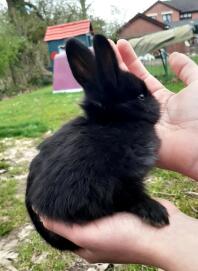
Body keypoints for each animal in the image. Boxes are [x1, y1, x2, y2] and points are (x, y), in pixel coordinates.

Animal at [25, 34, 169, 253]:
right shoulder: (117, 181)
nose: (158, 106)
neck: (112, 122)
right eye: (141, 96)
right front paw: (157, 212)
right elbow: (131, 196)